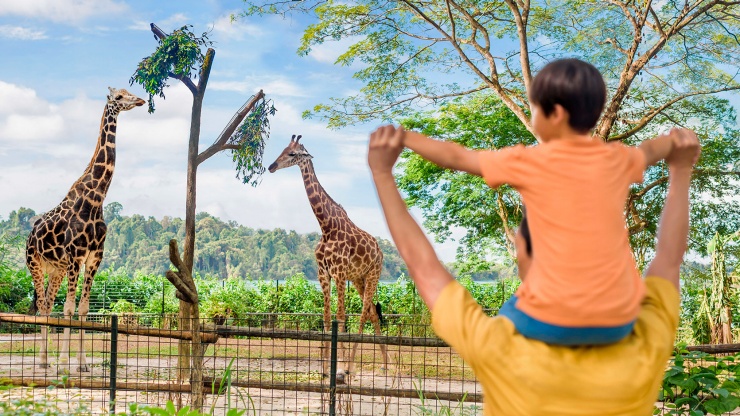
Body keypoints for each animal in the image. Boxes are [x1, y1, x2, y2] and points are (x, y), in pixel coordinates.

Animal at [26, 86, 145, 372]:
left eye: (129, 91)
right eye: (119, 97)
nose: (140, 100)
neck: (96, 200)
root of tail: (29, 236)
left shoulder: (94, 258)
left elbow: (82, 308)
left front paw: (81, 364)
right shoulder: (75, 256)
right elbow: (69, 308)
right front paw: (64, 363)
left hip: (55, 269)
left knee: (47, 304)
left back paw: (45, 359)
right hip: (35, 263)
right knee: (43, 305)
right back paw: (44, 361)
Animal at [268, 135, 390, 382]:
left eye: (292, 154)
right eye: (283, 149)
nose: (271, 166)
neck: (326, 226)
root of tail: (380, 251)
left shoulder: (339, 272)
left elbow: (341, 317)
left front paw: (340, 369)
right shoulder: (323, 274)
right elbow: (325, 318)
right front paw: (325, 370)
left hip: (373, 274)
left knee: (363, 314)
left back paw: (352, 367)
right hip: (359, 279)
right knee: (372, 312)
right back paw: (384, 365)